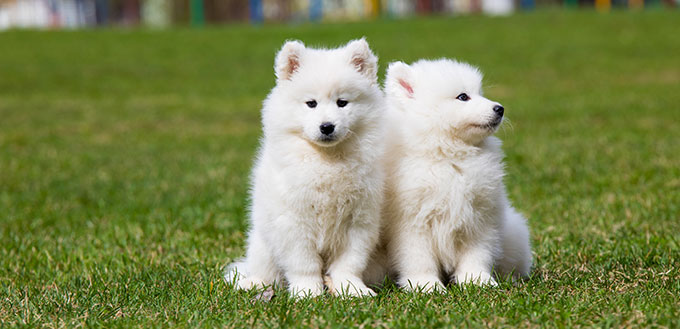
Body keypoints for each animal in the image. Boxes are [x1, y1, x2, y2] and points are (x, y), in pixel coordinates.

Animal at [226, 38, 386, 298]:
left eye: (342, 103)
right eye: (311, 103)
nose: (327, 126)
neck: (326, 160)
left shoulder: (359, 221)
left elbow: (349, 263)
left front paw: (352, 289)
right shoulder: (294, 222)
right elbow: (304, 264)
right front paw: (308, 293)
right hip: (262, 243)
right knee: (266, 272)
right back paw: (252, 283)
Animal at [382, 58, 532, 290]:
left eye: (479, 93)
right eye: (463, 96)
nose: (500, 108)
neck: (449, 157)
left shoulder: (479, 216)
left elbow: (477, 254)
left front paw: (477, 280)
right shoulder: (411, 222)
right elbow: (418, 258)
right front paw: (426, 285)